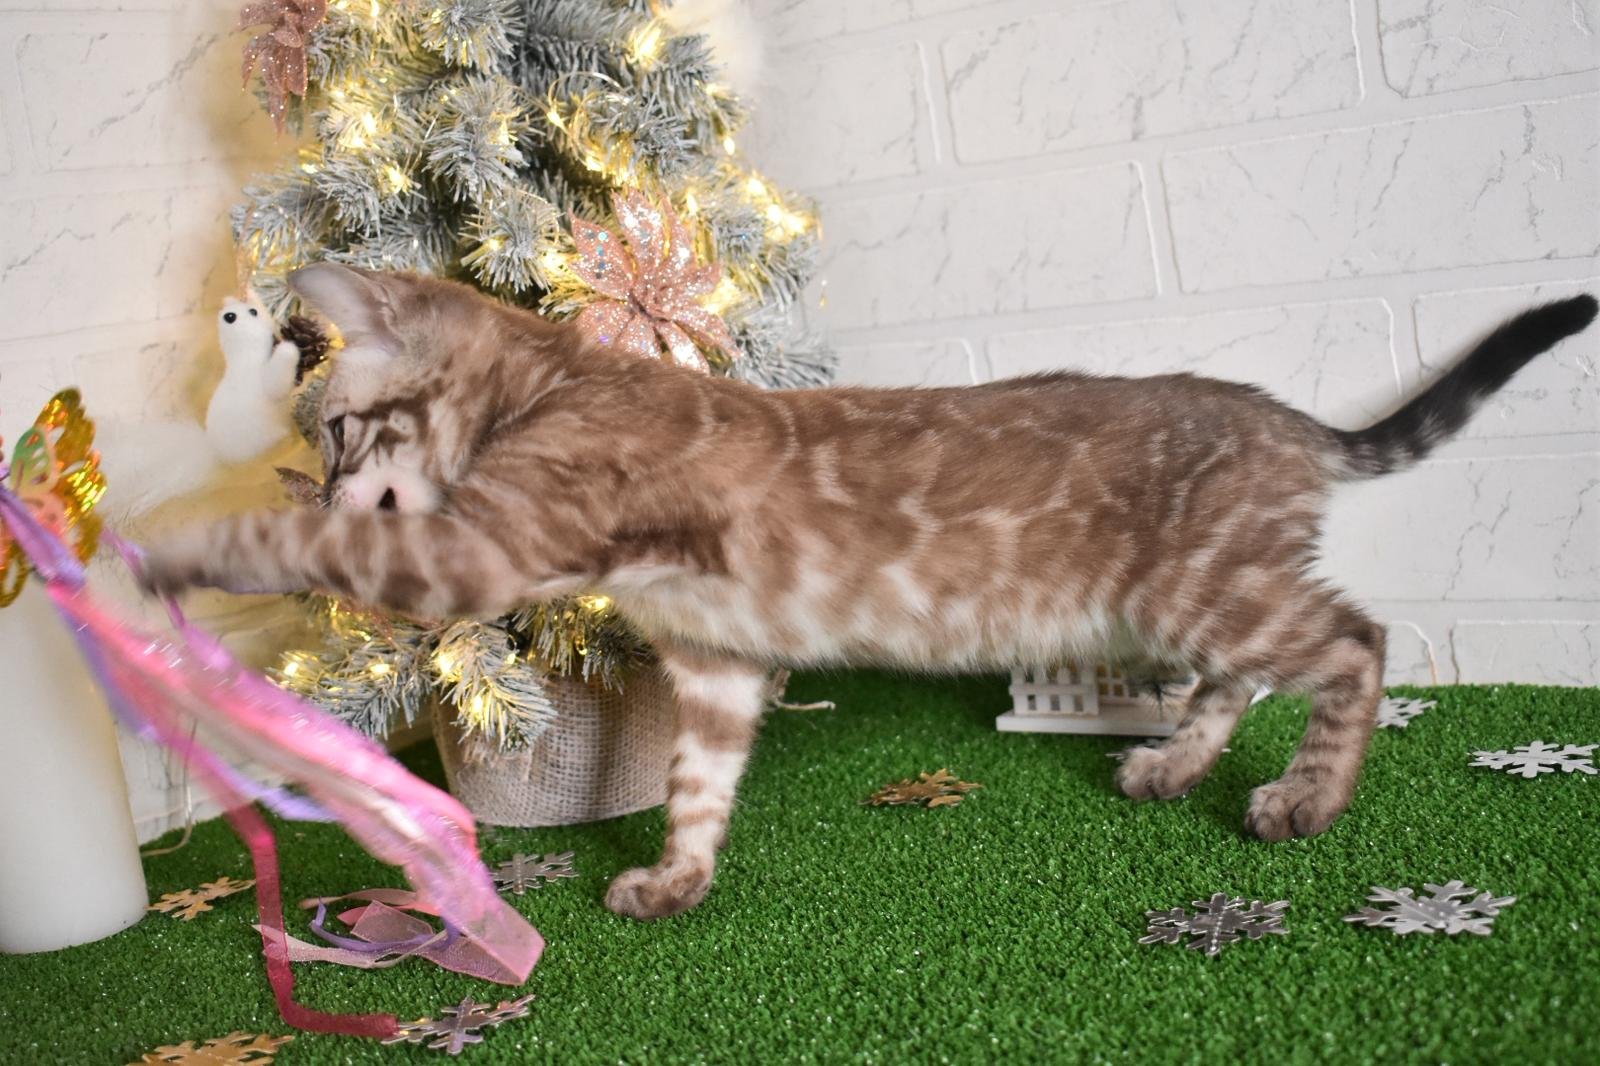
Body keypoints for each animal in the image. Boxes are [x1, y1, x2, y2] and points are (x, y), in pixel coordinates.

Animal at [139, 263, 1598, 920]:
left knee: (1355, 639)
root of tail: (1286, 417)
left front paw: (173, 547)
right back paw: (1175, 765)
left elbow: (292, 552)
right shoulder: (717, 662)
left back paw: (1305, 797)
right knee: (1241, 673)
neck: (553, 380)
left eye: (336, 434)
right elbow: (699, 784)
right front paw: (676, 876)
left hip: (1206, 584)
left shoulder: (479, 552)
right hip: (1186, 595)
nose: (325, 481)